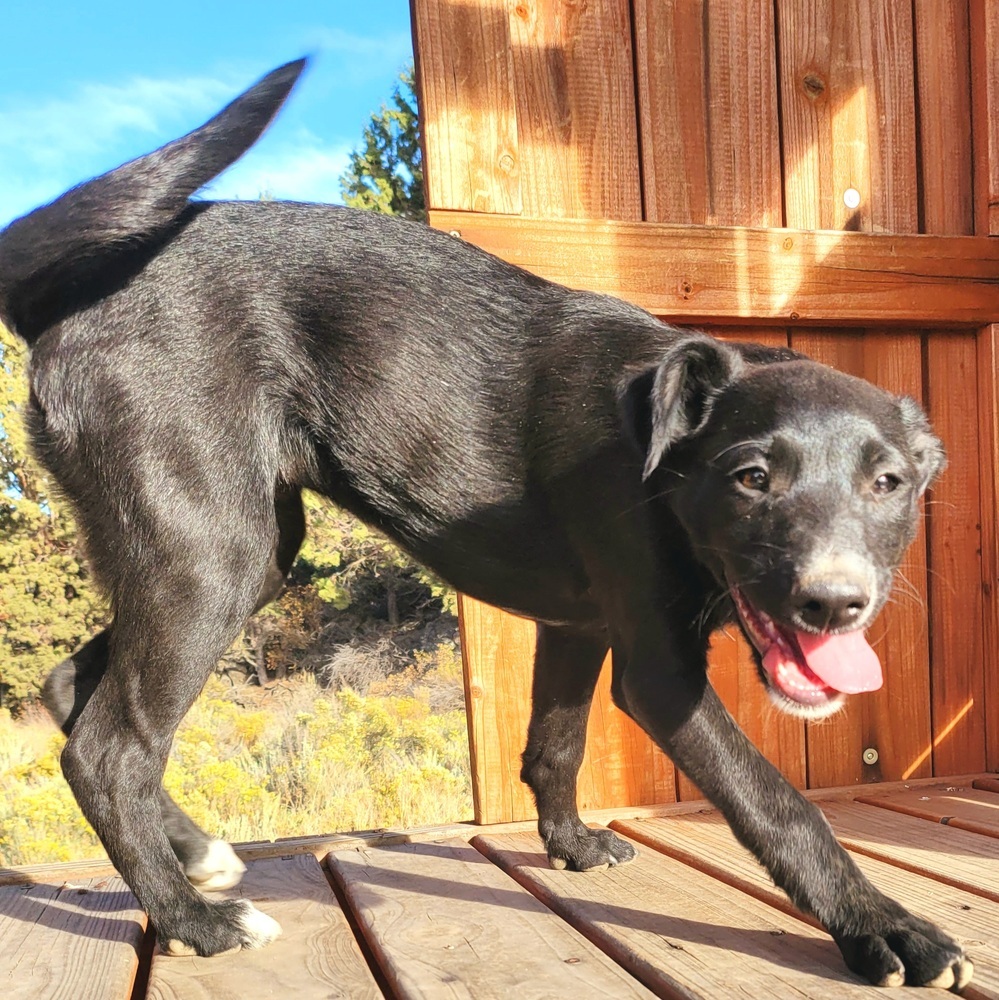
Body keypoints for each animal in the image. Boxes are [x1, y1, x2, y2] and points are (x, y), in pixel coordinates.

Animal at [0, 62, 972, 992]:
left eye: (887, 482)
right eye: (751, 479)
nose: (834, 604)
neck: (658, 462)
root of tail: (66, 297)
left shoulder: (578, 626)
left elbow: (554, 746)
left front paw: (570, 847)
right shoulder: (659, 673)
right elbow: (777, 802)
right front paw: (885, 928)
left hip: (228, 550)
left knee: (70, 687)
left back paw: (199, 857)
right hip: (209, 555)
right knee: (108, 750)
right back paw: (195, 921)